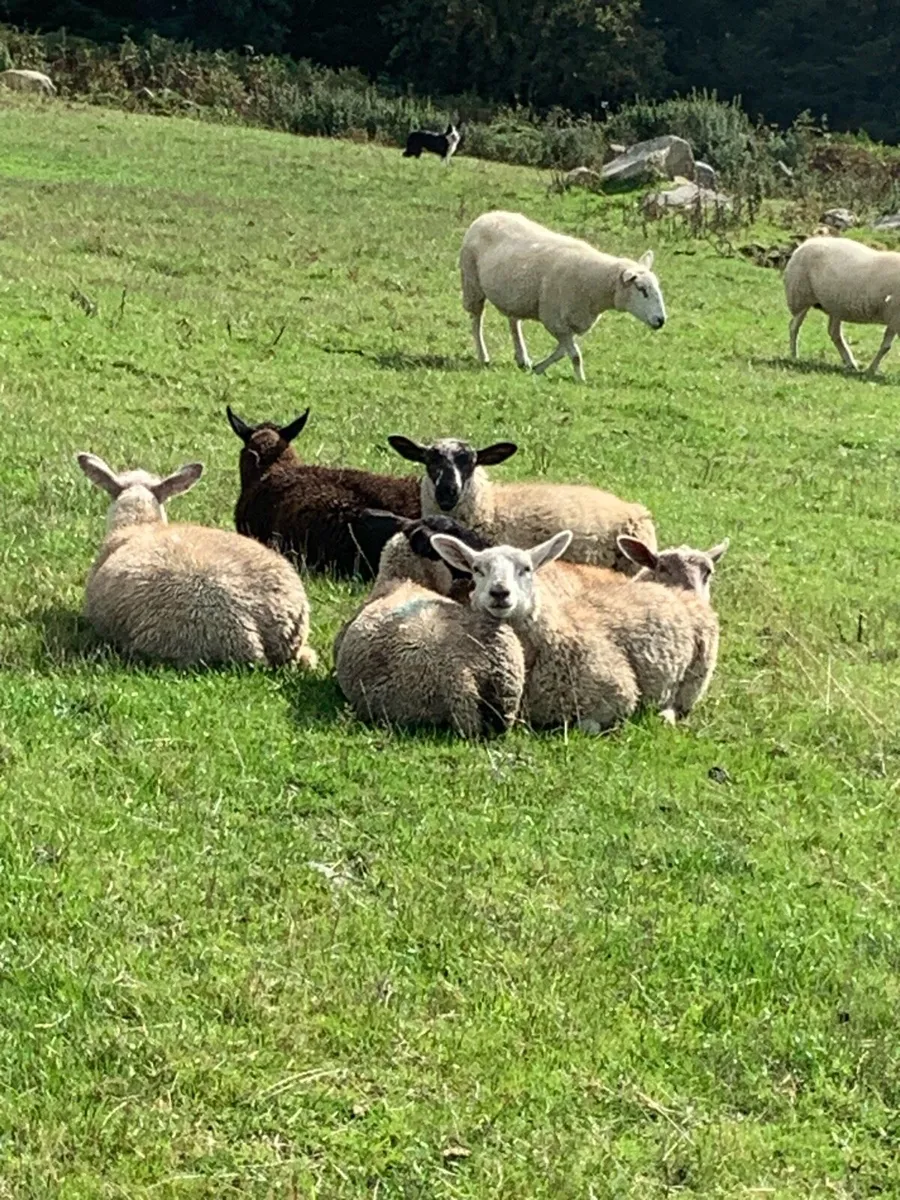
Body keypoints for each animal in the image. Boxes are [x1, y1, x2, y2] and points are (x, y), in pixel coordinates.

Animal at [431, 531, 720, 731]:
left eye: (527, 569)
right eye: (477, 570)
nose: (500, 592)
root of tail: (679, 592)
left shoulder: (617, 695)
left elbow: (586, 726)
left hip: (696, 679)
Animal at [459, 210, 666, 381]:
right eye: (641, 289)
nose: (661, 320)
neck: (595, 284)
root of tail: (487, 215)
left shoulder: (571, 323)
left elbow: (563, 352)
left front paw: (538, 368)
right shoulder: (554, 320)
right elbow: (574, 355)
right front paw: (580, 380)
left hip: (514, 295)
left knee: (514, 322)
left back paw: (522, 358)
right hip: (472, 284)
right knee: (476, 322)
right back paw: (483, 356)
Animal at [784, 235, 900, 375]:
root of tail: (806, 243)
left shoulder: (893, 319)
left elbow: (886, 346)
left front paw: (871, 370)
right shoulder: (895, 317)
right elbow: (886, 346)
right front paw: (871, 370)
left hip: (835, 306)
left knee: (834, 333)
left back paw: (850, 362)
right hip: (800, 296)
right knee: (794, 326)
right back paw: (794, 356)